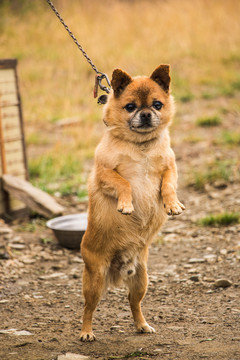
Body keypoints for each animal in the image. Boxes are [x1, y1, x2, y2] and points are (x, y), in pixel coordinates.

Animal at [79, 64, 185, 344]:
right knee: (88, 309)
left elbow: (168, 186)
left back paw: (142, 325)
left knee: (133, 303)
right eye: (130, 107)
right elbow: (124, 183)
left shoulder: (170, 168)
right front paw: (126, 205)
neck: (141, 146)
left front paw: (172, 205)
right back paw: (86, 332)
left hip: (141, 280)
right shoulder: (105, 175)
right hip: (94, 282)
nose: (146, 114)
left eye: (157, 104)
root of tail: (118, 271)